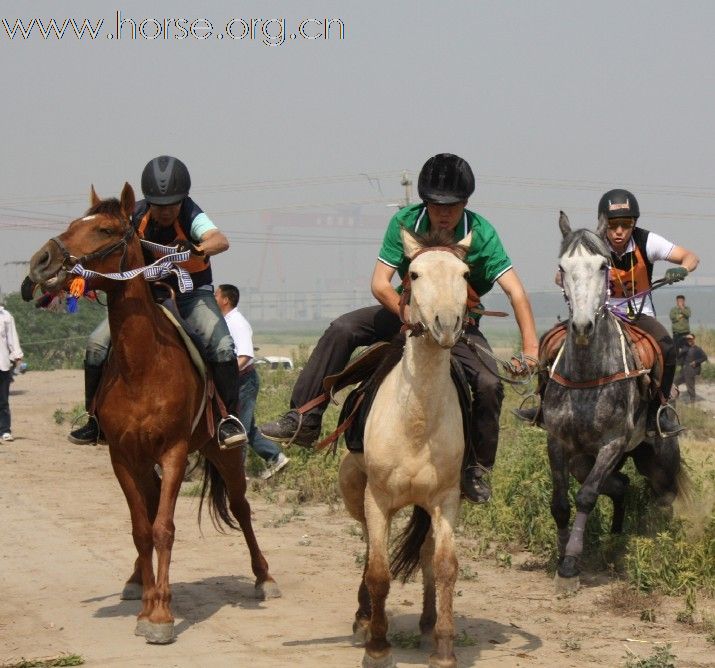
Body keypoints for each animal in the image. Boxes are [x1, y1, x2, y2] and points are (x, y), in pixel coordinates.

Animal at [25, 185, 278, 644]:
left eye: (106, 230)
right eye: (72, 224)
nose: (41, 262)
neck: (143, 366)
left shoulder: (174, 451)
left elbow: (163, 528)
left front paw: (160, 616)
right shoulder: (123, 456)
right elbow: (142, 528)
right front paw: (146, 603)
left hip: (224, 451)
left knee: (241, 507)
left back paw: (263, 578)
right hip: (146, 462)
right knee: (152, 505)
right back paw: (135, 580)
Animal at [340, 228, 472, 668]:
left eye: (465, 274)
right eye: (414, 273)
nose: (445, 325)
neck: (416, 423)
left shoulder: (446, 500)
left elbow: (445, 566)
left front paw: (444, 648)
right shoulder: (378, 499)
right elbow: (379, 572)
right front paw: (378, 647)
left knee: (427, 555)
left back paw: (428, 622)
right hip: (356, 492)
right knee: (368, 549)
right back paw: (364, 618)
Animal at [544, 211, 688, 592]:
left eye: (602, 266)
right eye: (562, 267)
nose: (582, 327)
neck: (586, 376)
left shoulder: (611, 444)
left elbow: (586, 496)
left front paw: (570, 565)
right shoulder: (557, 442)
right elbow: (561, 503)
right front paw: (561, 554)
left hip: (658, 456)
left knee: (665, 495)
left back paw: (662, 540)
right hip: (587, 458)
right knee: (620, 485)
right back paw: (616, 538)